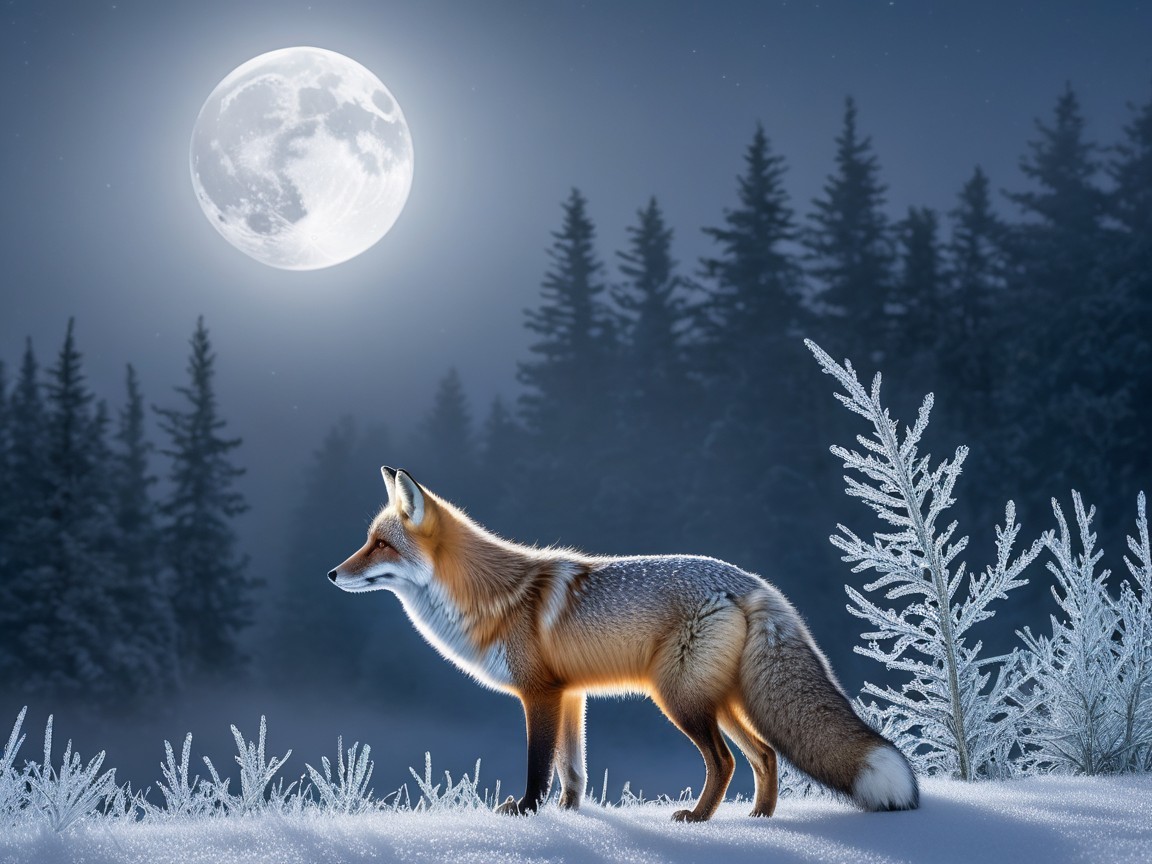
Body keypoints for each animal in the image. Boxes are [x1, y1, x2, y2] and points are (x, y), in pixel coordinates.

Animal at [327, 466, 918, 822]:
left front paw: (527, 812)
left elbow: (538, 766)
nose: (332, 573)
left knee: (725, 761)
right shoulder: (570, 695)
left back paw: (699, 820)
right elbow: (573, 769)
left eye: (380, 545)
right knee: (766, 754)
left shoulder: (539, 694)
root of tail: (751, 582)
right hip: (720, 701)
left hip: (680, 700)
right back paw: (758, 819)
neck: (492, 599)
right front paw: (571, 815)